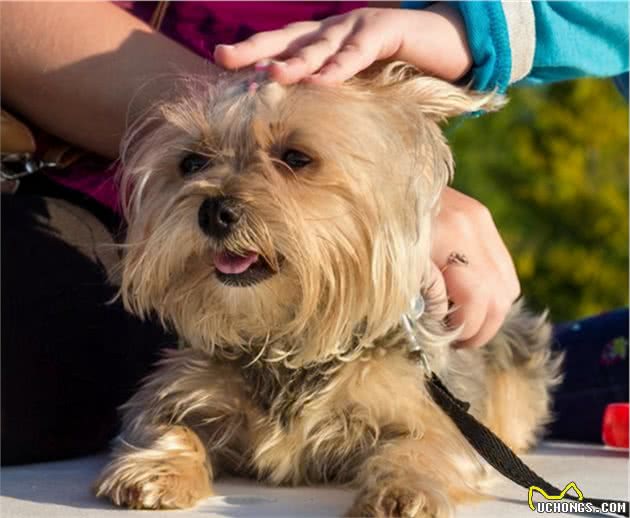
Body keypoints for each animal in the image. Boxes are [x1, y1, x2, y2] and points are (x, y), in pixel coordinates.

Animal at [97, 66, 564, 518]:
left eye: (296, 158)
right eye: (192, 162)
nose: (213, 211)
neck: (286, 339)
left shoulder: (436, 411)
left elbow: (425, 447)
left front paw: (403, 491)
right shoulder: (177, 389)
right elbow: (168, 425)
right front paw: (157, 469)